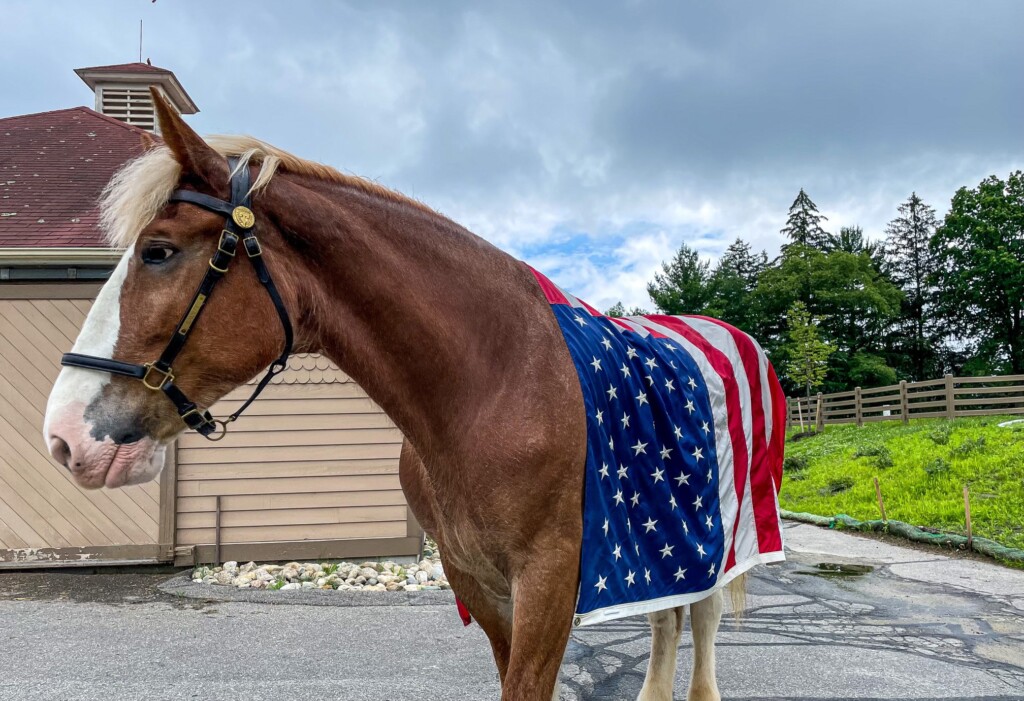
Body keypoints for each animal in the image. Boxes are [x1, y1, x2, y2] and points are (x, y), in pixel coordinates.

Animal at [44, 90, 782, 695]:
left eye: (158, 251)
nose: (64, 435)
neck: (494, 383)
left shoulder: (551, 577)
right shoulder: (475, 579)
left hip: (720, 530)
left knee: (701, 618)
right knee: (666, 619)